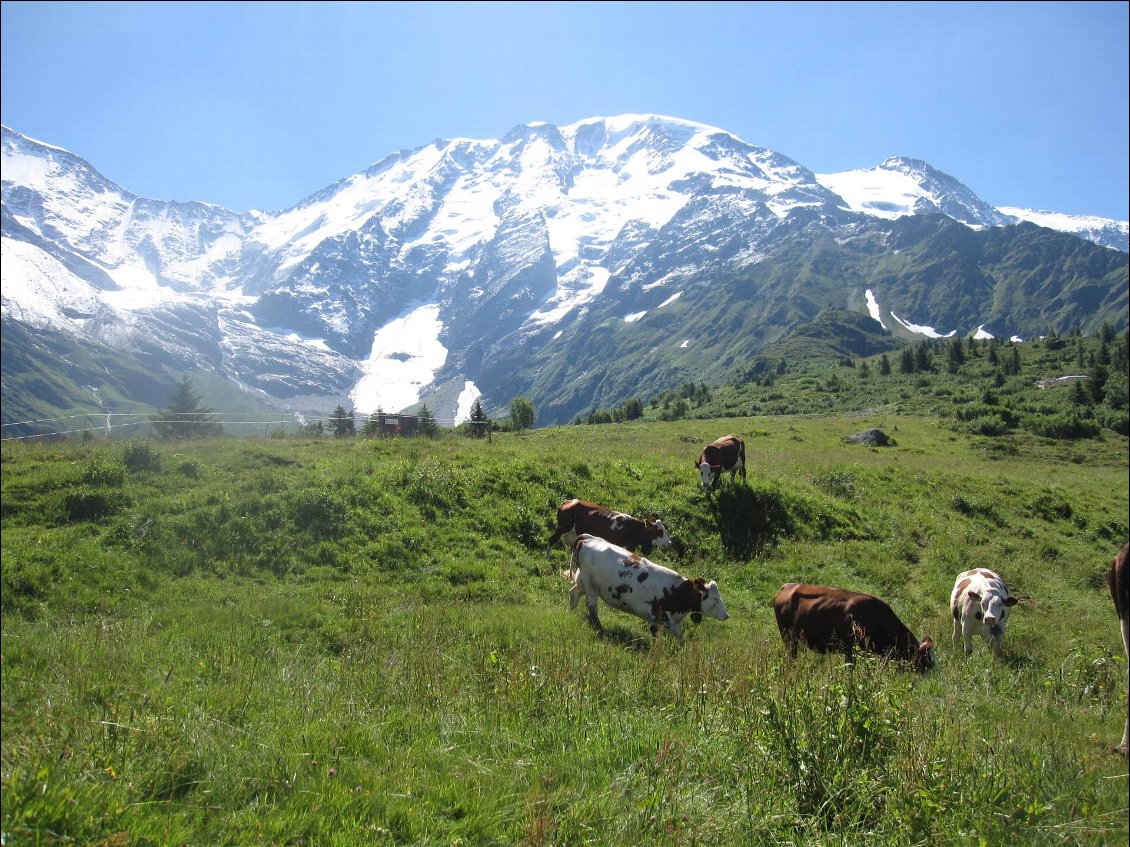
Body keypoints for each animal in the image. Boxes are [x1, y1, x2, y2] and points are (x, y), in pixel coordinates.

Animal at [565, 537, 732, 641]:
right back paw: (599, 628)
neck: (677, 592)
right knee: (592, 606)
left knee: (573, 593)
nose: (726, 615)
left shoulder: (656, 620)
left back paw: (572, 613)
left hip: (582, 582)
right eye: (715, 598)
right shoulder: (663, 616)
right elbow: (679, 636)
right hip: (590, 585)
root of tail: (587, 538)